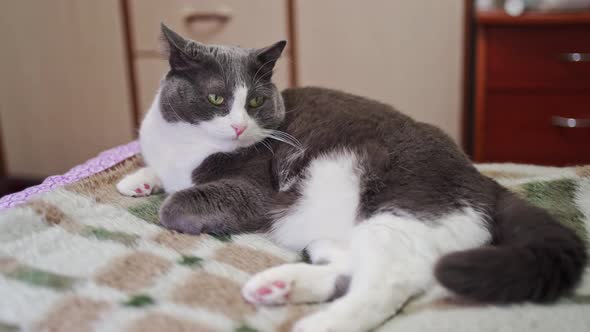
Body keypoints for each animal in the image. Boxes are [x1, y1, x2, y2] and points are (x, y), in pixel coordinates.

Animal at [117, 24, 588, 332]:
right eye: (217, 98)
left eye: (255, 102)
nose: (238, 127)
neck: (186, 146)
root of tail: (481, 179)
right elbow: (154, 168)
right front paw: (136, 180)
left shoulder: (254, 189)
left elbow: (177, 204)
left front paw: (167, 197)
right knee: (349, 265)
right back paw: (281, 284)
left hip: (400, 209)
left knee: (395, 277)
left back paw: (322, 323)